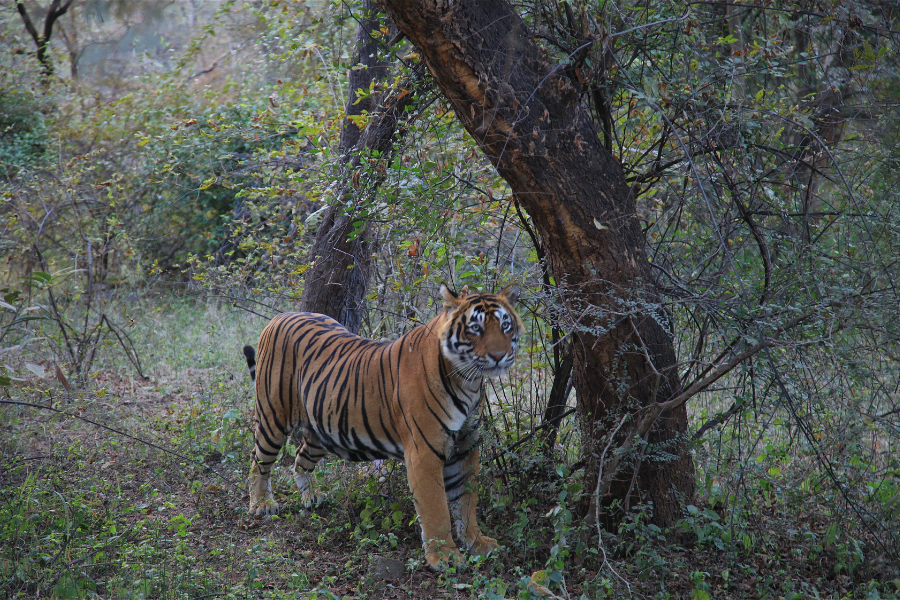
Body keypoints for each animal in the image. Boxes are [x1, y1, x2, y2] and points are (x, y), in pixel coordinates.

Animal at [243, 283, 523, 569]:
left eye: (505, 325)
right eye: (475, 328)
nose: (499, 356)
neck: (468, 380)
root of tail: (280, 317)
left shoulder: (466, 448)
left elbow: (466, 501)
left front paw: (477, 543)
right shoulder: (424, 453)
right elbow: (437, 508)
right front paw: (444, 556)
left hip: (323, 427)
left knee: (300, 458)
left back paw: (312, 497)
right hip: (273, 417)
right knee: (258, 461)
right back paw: (261, 505)